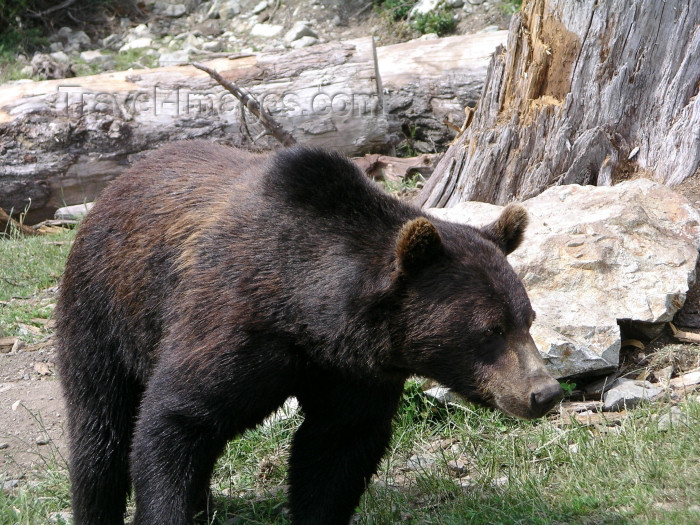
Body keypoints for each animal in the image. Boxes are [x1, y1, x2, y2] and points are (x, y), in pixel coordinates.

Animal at [57, 140, 568, 524]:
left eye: (528, 318)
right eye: (489, 329)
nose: (544, 392)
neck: (309, 317)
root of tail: (119, 182)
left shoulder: (357, 370)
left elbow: (334, 449)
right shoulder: (233, 323)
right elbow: (176, 418)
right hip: (104, 306)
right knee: (99, 427)